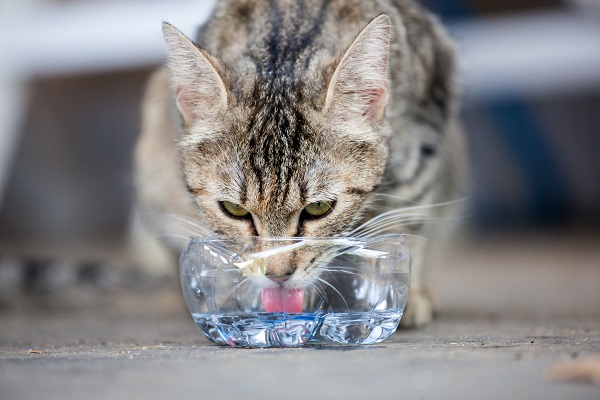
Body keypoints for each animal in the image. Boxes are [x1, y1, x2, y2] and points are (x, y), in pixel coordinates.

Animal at [134, 0, 466, 328]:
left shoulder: (424, 134)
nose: (277, 275)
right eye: (234, 210)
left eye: (319, 208)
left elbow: (407, 217)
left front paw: (389, 291)